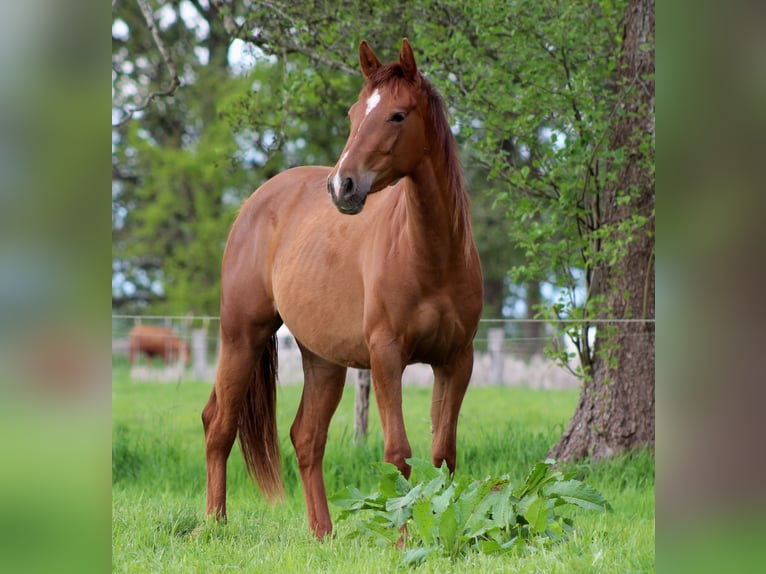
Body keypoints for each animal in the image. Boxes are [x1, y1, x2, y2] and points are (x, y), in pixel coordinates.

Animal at [202, 38, 483, 540]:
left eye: (397, 115)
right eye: (354, 114)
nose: (341, 185)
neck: (432, 259)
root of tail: (255, 203)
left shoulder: (457, 360)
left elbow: (443, 455)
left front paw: (441, 533)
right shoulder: (387, 357)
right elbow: (398, 454)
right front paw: (403, 541)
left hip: (323, 360)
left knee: (306, 438)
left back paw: (323, 534)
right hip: (241, 335)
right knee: (219, 426)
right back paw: (215, 524)